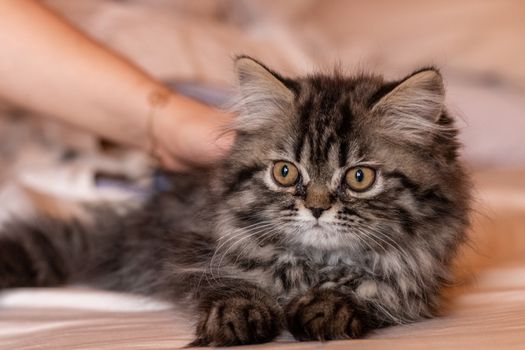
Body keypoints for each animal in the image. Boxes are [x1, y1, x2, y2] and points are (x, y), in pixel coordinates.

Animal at [0, 56, 468, 346]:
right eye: (285, 173)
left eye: (359, 177)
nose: (317, 208)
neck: (315, 265)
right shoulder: (194, 251)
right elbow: (230, 282)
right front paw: (238, 315)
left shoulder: (415, 285)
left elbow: (374, 290)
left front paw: (330, 306)